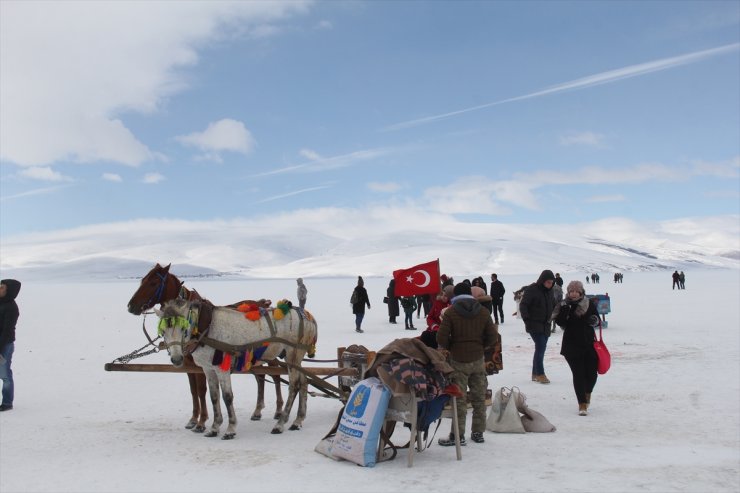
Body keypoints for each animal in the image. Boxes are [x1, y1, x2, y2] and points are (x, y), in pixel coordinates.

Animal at [125, 262, 282, 430]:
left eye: (153, 283)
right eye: (142, 280)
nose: (131, 306)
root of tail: (264, 303)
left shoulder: (200, 366)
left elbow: (201, 391)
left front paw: (202, 422)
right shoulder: (188, 364)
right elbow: (193, 391)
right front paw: (193, 419)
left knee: (276, 375)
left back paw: (279, 410)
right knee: (261, 377)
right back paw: (257, 411)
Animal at [156, 296, 318, 438]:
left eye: (183, 329)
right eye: (163, 332)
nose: (177, 359)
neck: (207, 329)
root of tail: (306, 315)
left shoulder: (221, 368)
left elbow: (227, 397)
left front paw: (230, 429)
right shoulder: (208, 369)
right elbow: (214, 397)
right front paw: (214, 428)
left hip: (292, 355)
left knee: (294, 386)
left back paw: (280, 424)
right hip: (295, 359)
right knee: (304, 381)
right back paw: (298, 420)